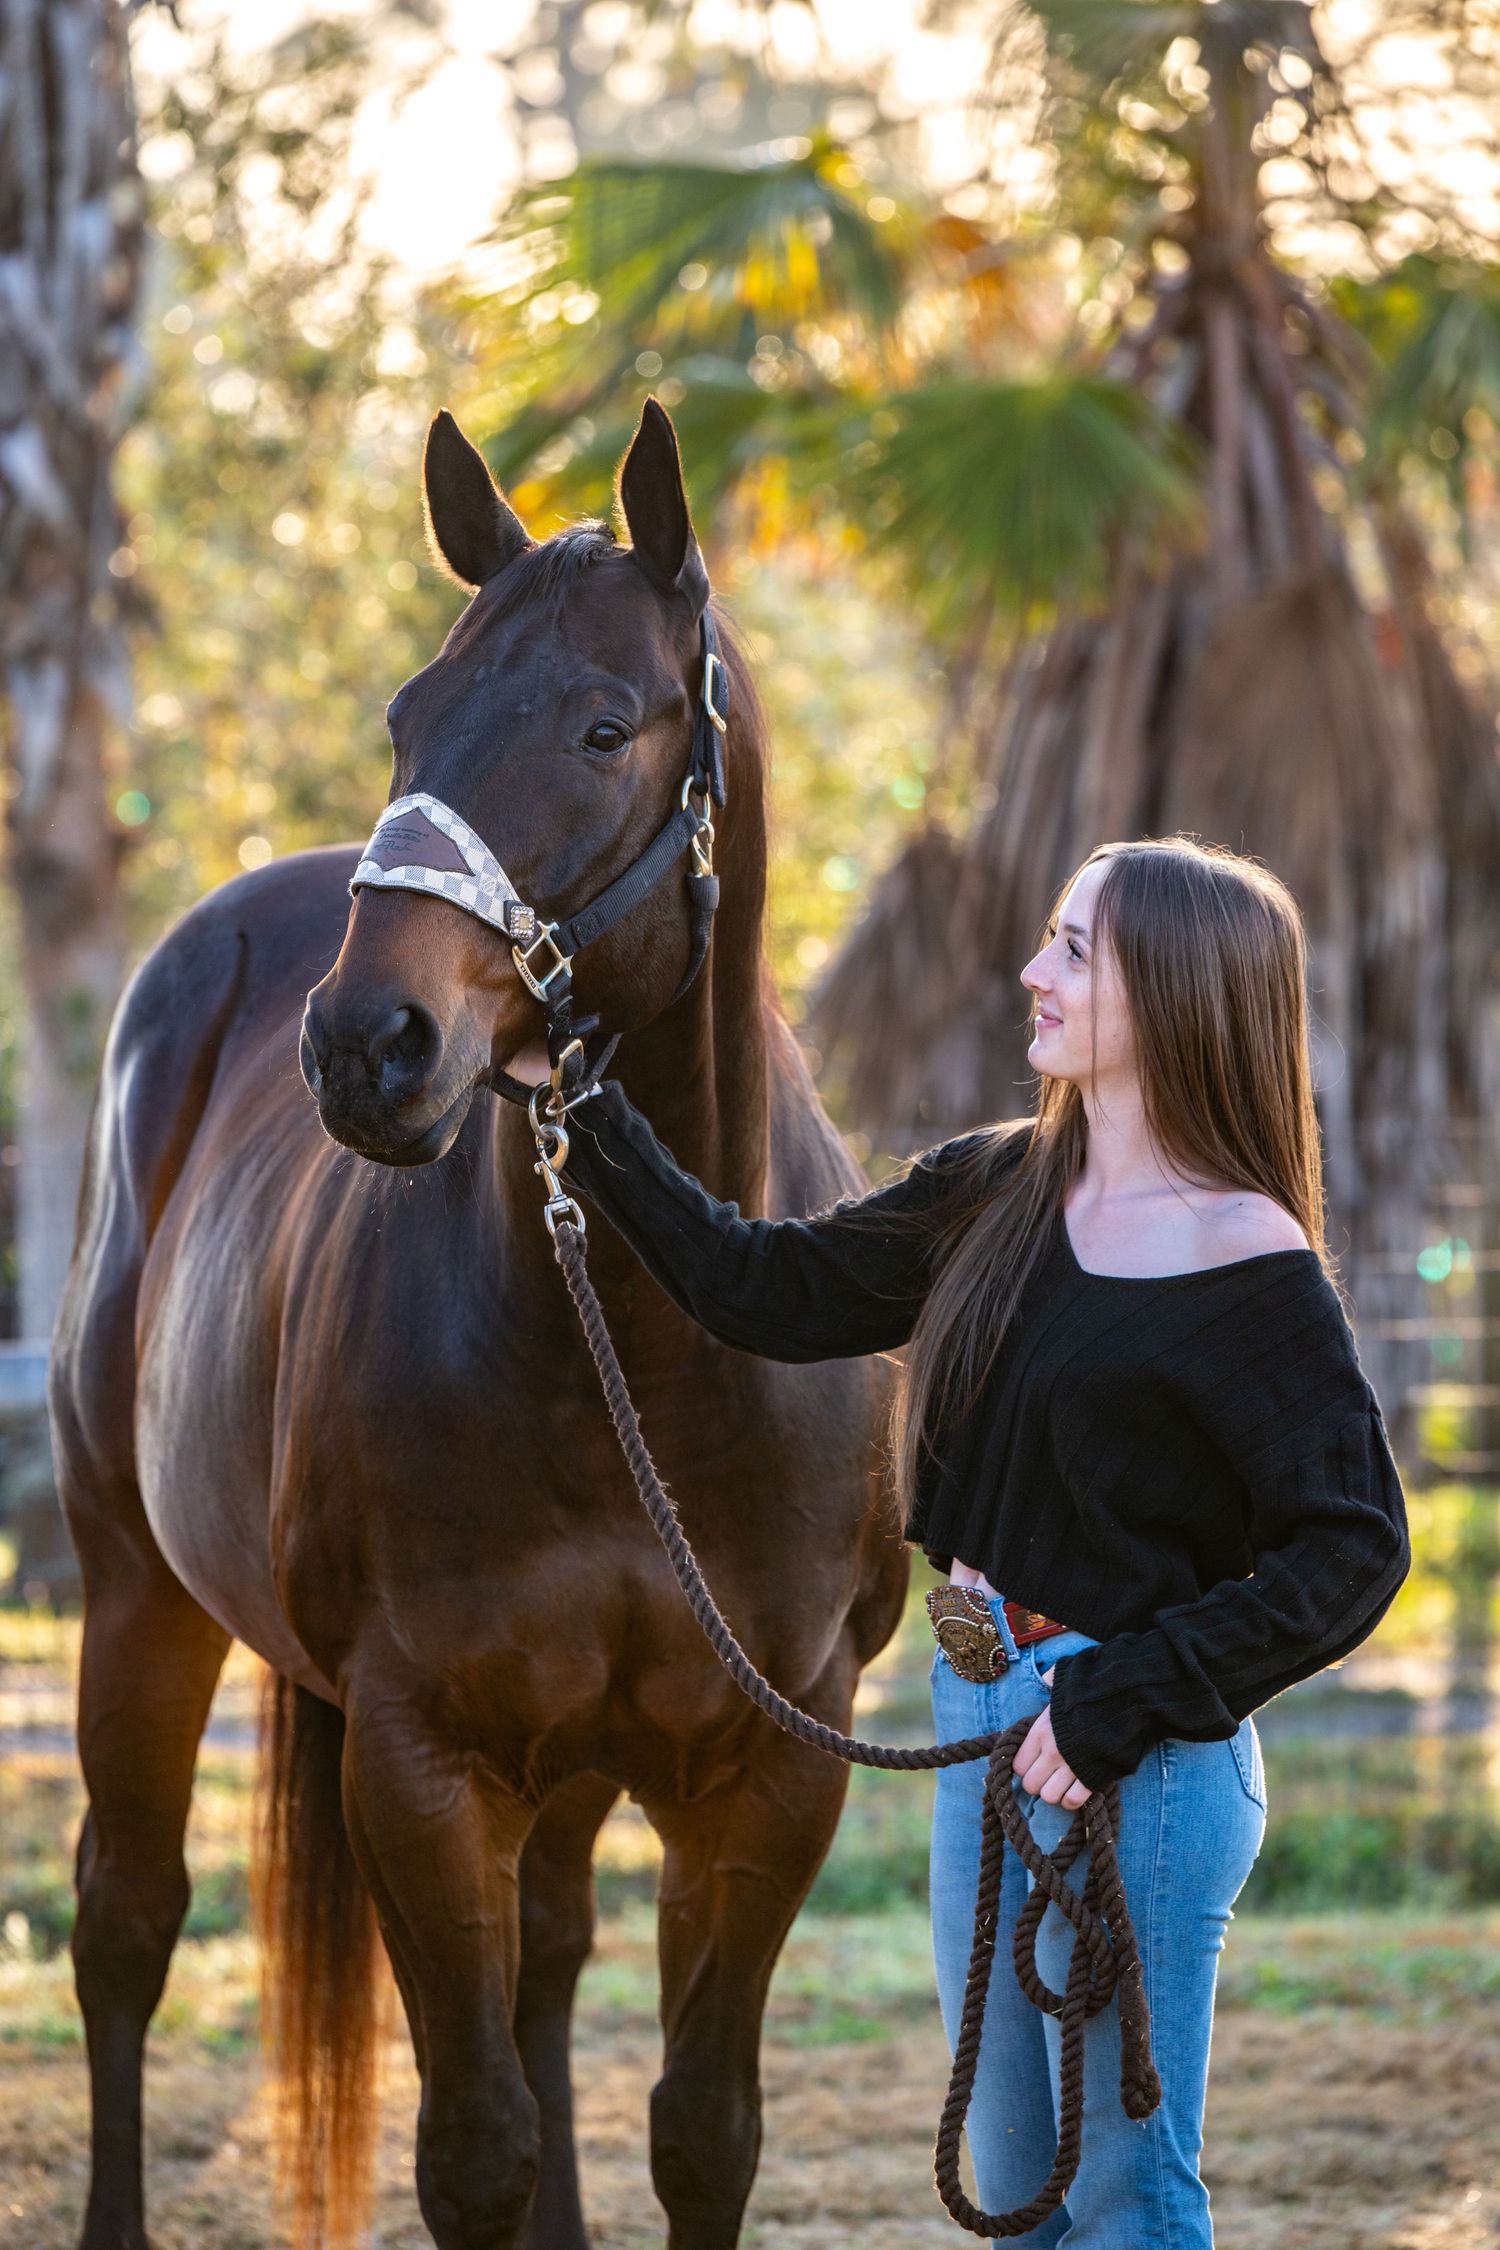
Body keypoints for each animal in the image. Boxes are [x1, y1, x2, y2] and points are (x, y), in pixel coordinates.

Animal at [48, 398, 909, 2250]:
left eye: (605, 723)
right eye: (406, 715)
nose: (367, 1045)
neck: (642, 1353)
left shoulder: (771, 1767)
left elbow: (701, 2130)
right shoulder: (420, 1760)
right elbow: (475, 2148)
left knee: (552, 1964)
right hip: (135, 1591)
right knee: (125, 1929)